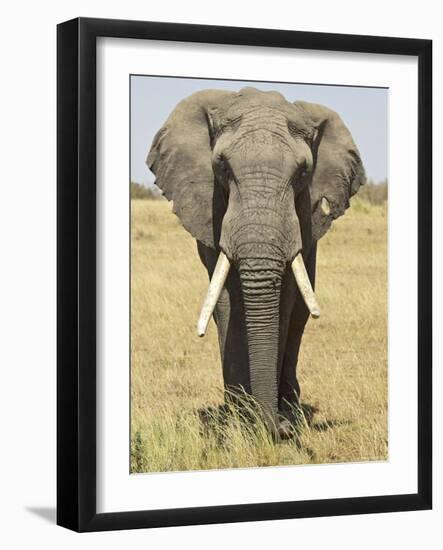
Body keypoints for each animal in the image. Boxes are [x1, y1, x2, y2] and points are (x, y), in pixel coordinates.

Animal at [147, 86, 366, 440]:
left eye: (303, 172)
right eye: (222, 167)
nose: (281, 429)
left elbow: (285, 300)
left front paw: (270, 419)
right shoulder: (212, 209)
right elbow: (225, 300)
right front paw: (241, 420)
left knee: (299, 315)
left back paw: (289, 407)